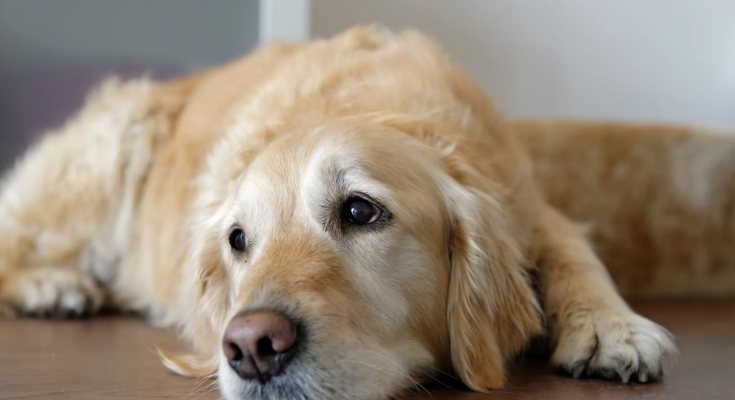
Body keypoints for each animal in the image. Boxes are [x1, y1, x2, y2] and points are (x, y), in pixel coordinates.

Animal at [7, 25, 732, 400]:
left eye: (359, 210)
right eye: (239, 240)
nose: (251, 347)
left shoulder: (528, 206)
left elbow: (574, 255)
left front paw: (611, 327)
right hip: (110, 149)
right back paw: (53, 285)